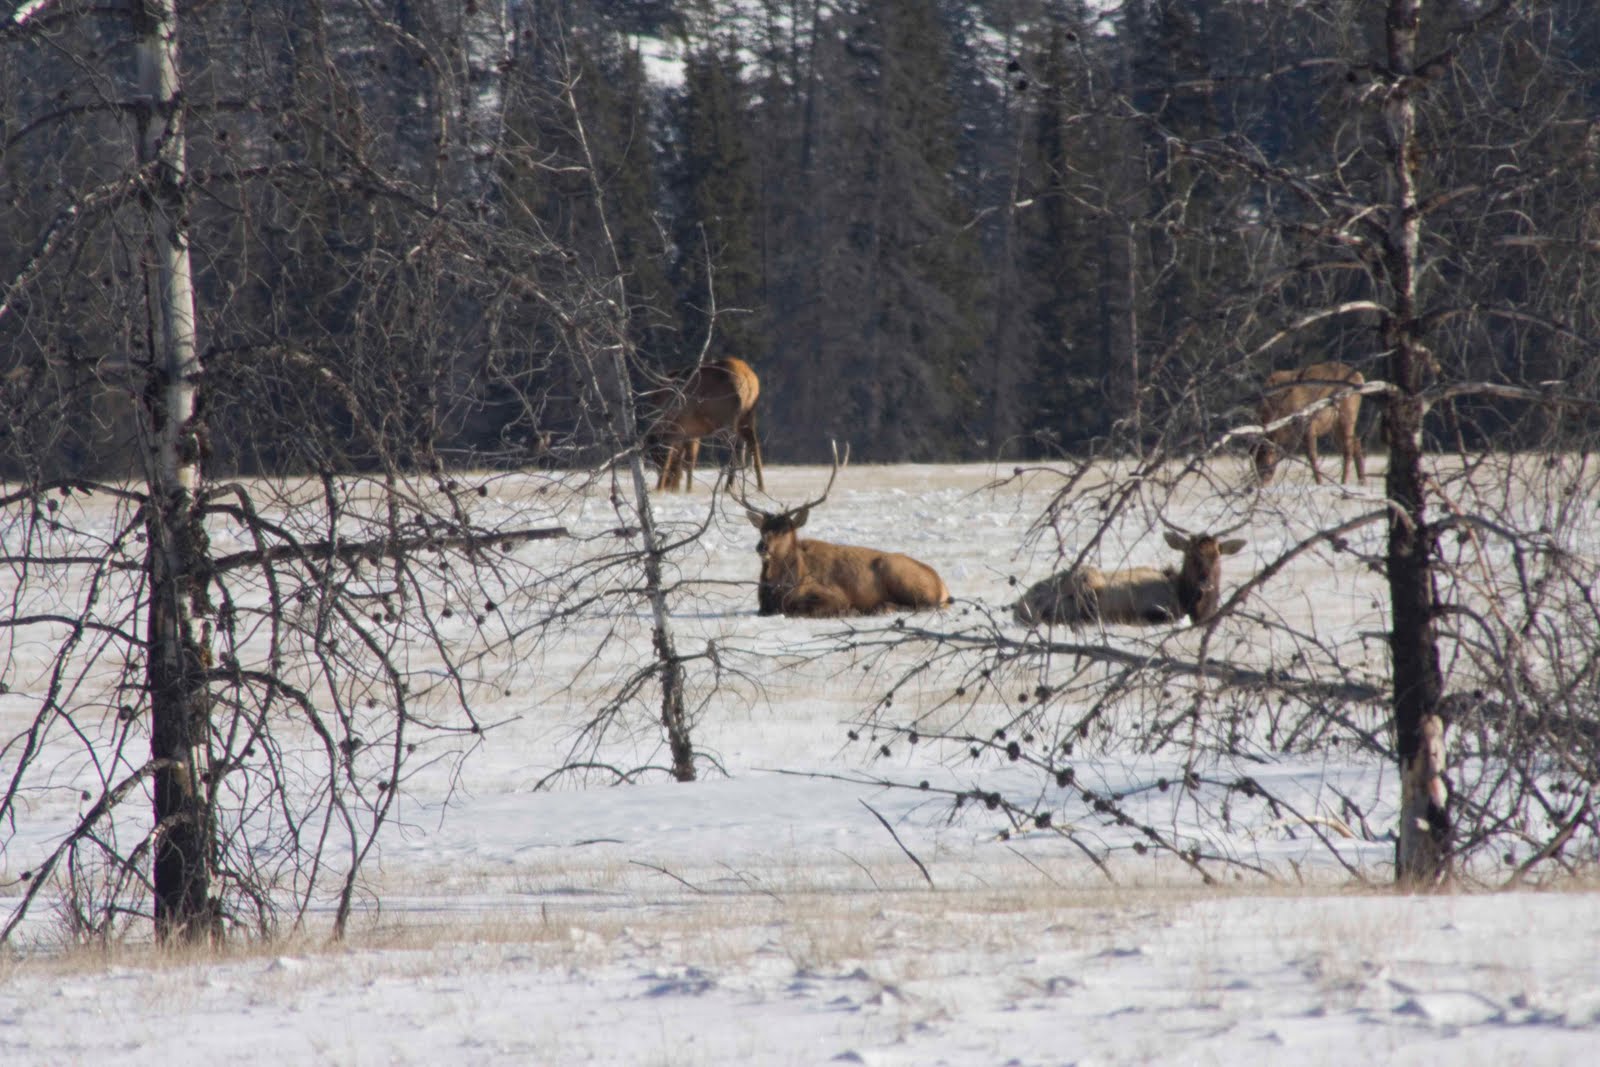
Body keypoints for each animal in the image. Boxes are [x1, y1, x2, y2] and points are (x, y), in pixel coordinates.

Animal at [646, 357, 764, 493]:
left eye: (656, 457)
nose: (665, 486)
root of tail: (749, 379)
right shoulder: (690, 432)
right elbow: (687, 459)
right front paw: (682, 489)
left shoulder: (677, 430)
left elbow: (673, 457)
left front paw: (666, 488)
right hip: (748, 416)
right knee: (753, 444)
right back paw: (760, 487)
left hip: (726, 420)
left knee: (736, 448)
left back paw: (728, 486)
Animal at [739, 444, 951, 617]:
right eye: (762, 529)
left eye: (785, 529)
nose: (762, 547)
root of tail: (942, 586)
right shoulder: (763, 607)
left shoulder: (832, 594)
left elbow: (801, 610)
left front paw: (852, 610)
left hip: (900, 575)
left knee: (926, 604)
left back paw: (882, 607)